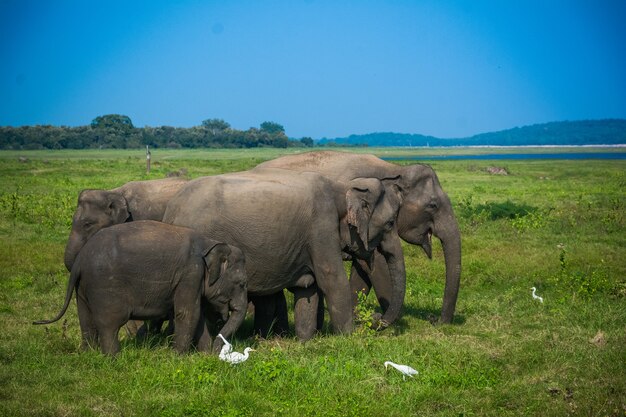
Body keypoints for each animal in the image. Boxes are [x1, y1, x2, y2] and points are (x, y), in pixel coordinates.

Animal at [33, 219, 245, 356]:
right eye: (242, 284)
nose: (220, 352)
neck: (210, 243)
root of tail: (80, 259)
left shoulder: (194, 281)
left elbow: (197, 314)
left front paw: (203, 355)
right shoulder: (190, 274)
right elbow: (187, 313)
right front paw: (177, 357)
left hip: (83, 288)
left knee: (85, 320)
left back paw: (88, 354)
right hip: (104, 287)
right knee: (109, 323)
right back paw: (113, 359)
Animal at [163, 167, 402, 340]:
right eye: (390, 223)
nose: (376, 318)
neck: (343, 187)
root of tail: (171, 209)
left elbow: (308, 287)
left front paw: (305, 340)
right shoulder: (322, 228)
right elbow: (332, 280)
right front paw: (349, 339)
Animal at [256, 151, 460, 324]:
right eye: (433, 205)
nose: (435, 320)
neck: (395, 169)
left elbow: (363, 269)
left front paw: (358, 316)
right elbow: (376, 265)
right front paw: (393, 322)